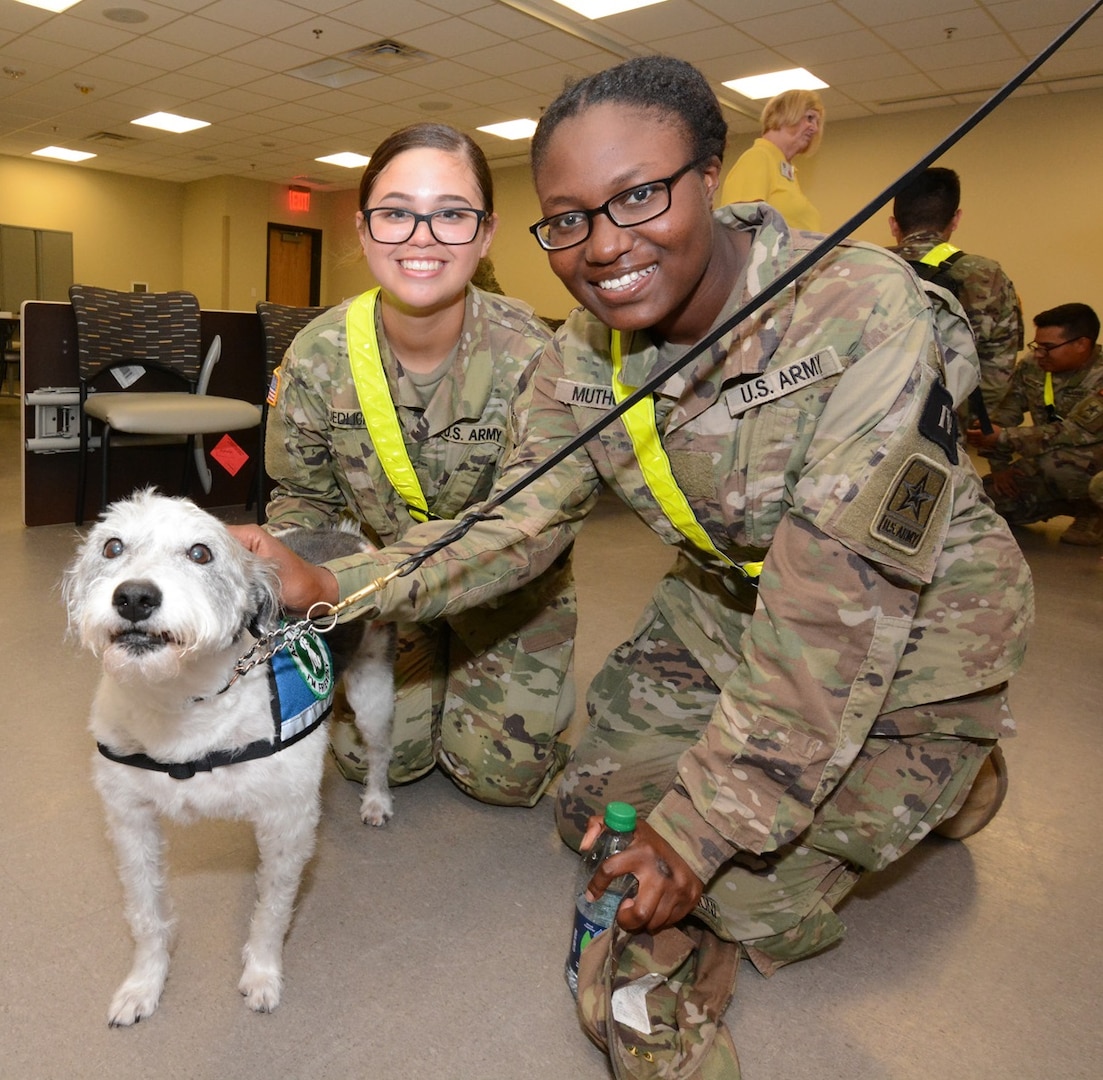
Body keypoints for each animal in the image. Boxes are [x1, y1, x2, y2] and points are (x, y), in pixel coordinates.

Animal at [62, 492, 394, 1032]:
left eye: (201, 553)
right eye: (112, 546)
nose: (134, 597)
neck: (184, 709)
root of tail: (342, 533)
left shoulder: (288, 824)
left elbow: (272, 911)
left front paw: (262, 975)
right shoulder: (130, 822)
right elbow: (146, 916)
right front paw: (143, 985)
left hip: (374, 693)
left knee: (380, 752)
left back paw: (378, 802)